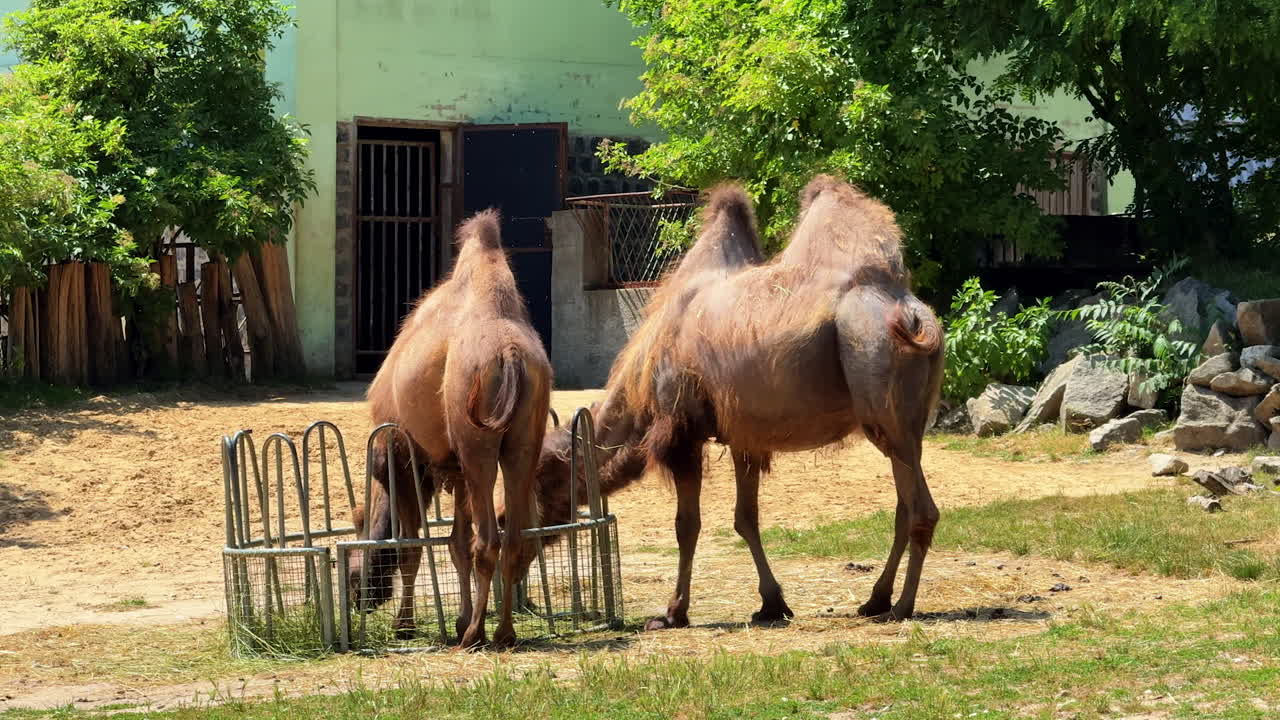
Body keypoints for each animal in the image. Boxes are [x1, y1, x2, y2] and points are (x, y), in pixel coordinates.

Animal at [350, 209, 553, 648]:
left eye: (358, 527)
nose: (359, 594)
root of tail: (510, 354)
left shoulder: (403, 459)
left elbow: (410, 547)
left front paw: (405, 624)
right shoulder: (454, 469)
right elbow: (455, 542)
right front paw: (457, 620)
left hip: (477, 442)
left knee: (489, 539)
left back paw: (477, 634)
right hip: (522, 440)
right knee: (516, 536)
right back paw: (503, 633)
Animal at [522, 176, 944, 627]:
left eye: (542, 479)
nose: (510, 526)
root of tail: (913, 314)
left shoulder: (681, 431)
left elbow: (686, 525)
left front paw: (673, 612)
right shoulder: (745, 434)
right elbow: (746, 519)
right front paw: (772, 604)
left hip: (879, 388)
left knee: (921, 509)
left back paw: (901, 606)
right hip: (908, 421)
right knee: (904, 506)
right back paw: (875, 600)